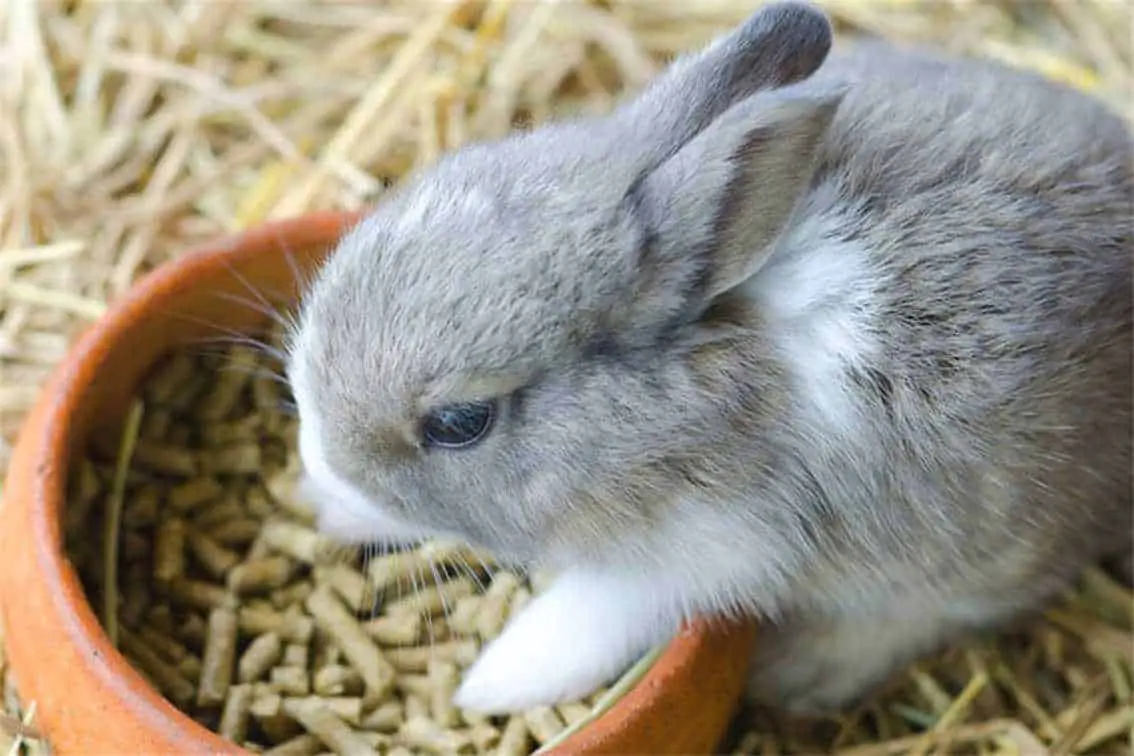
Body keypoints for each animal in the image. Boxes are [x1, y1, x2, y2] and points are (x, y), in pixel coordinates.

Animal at [285, 0, 1134, 720]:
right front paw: (330, 505)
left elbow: (590, 617)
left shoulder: (710, 551)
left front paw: (491, 686)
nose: (321, 463)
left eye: (460, 422)